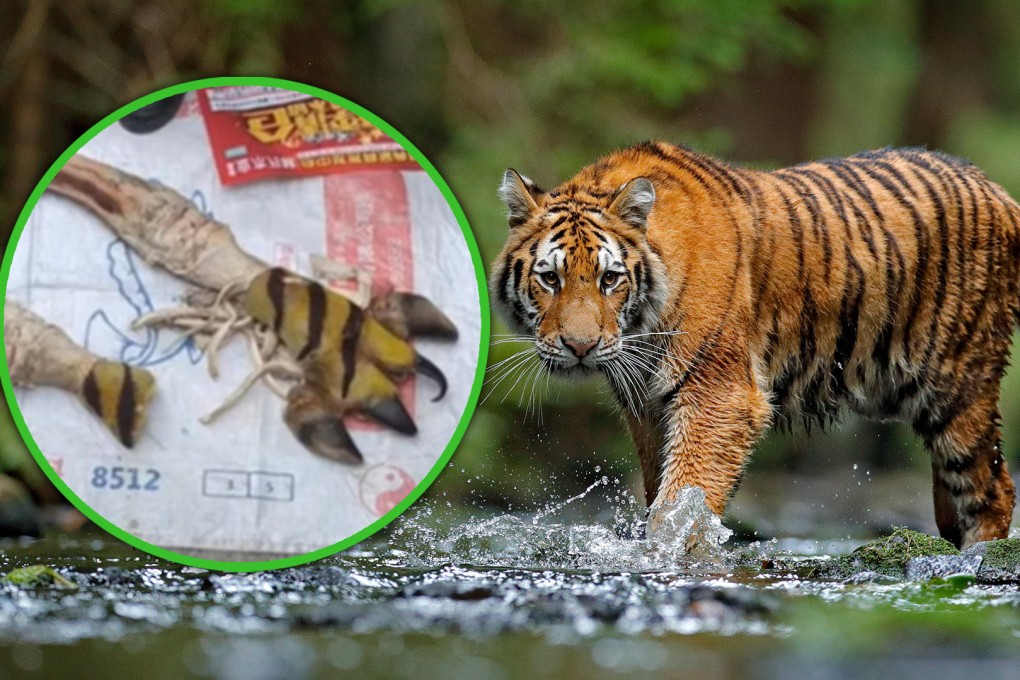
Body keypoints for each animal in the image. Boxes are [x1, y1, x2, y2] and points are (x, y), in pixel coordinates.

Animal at [491, 141, 1020, 549]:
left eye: (609, 279)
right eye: (551, 278)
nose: (579, 346)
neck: (641, 327)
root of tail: (997, 191)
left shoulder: (720, 393)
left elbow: (682, 497)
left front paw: (666, 551)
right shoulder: (647, 405)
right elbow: (660, 487)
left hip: (958, 389)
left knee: (994, 489)